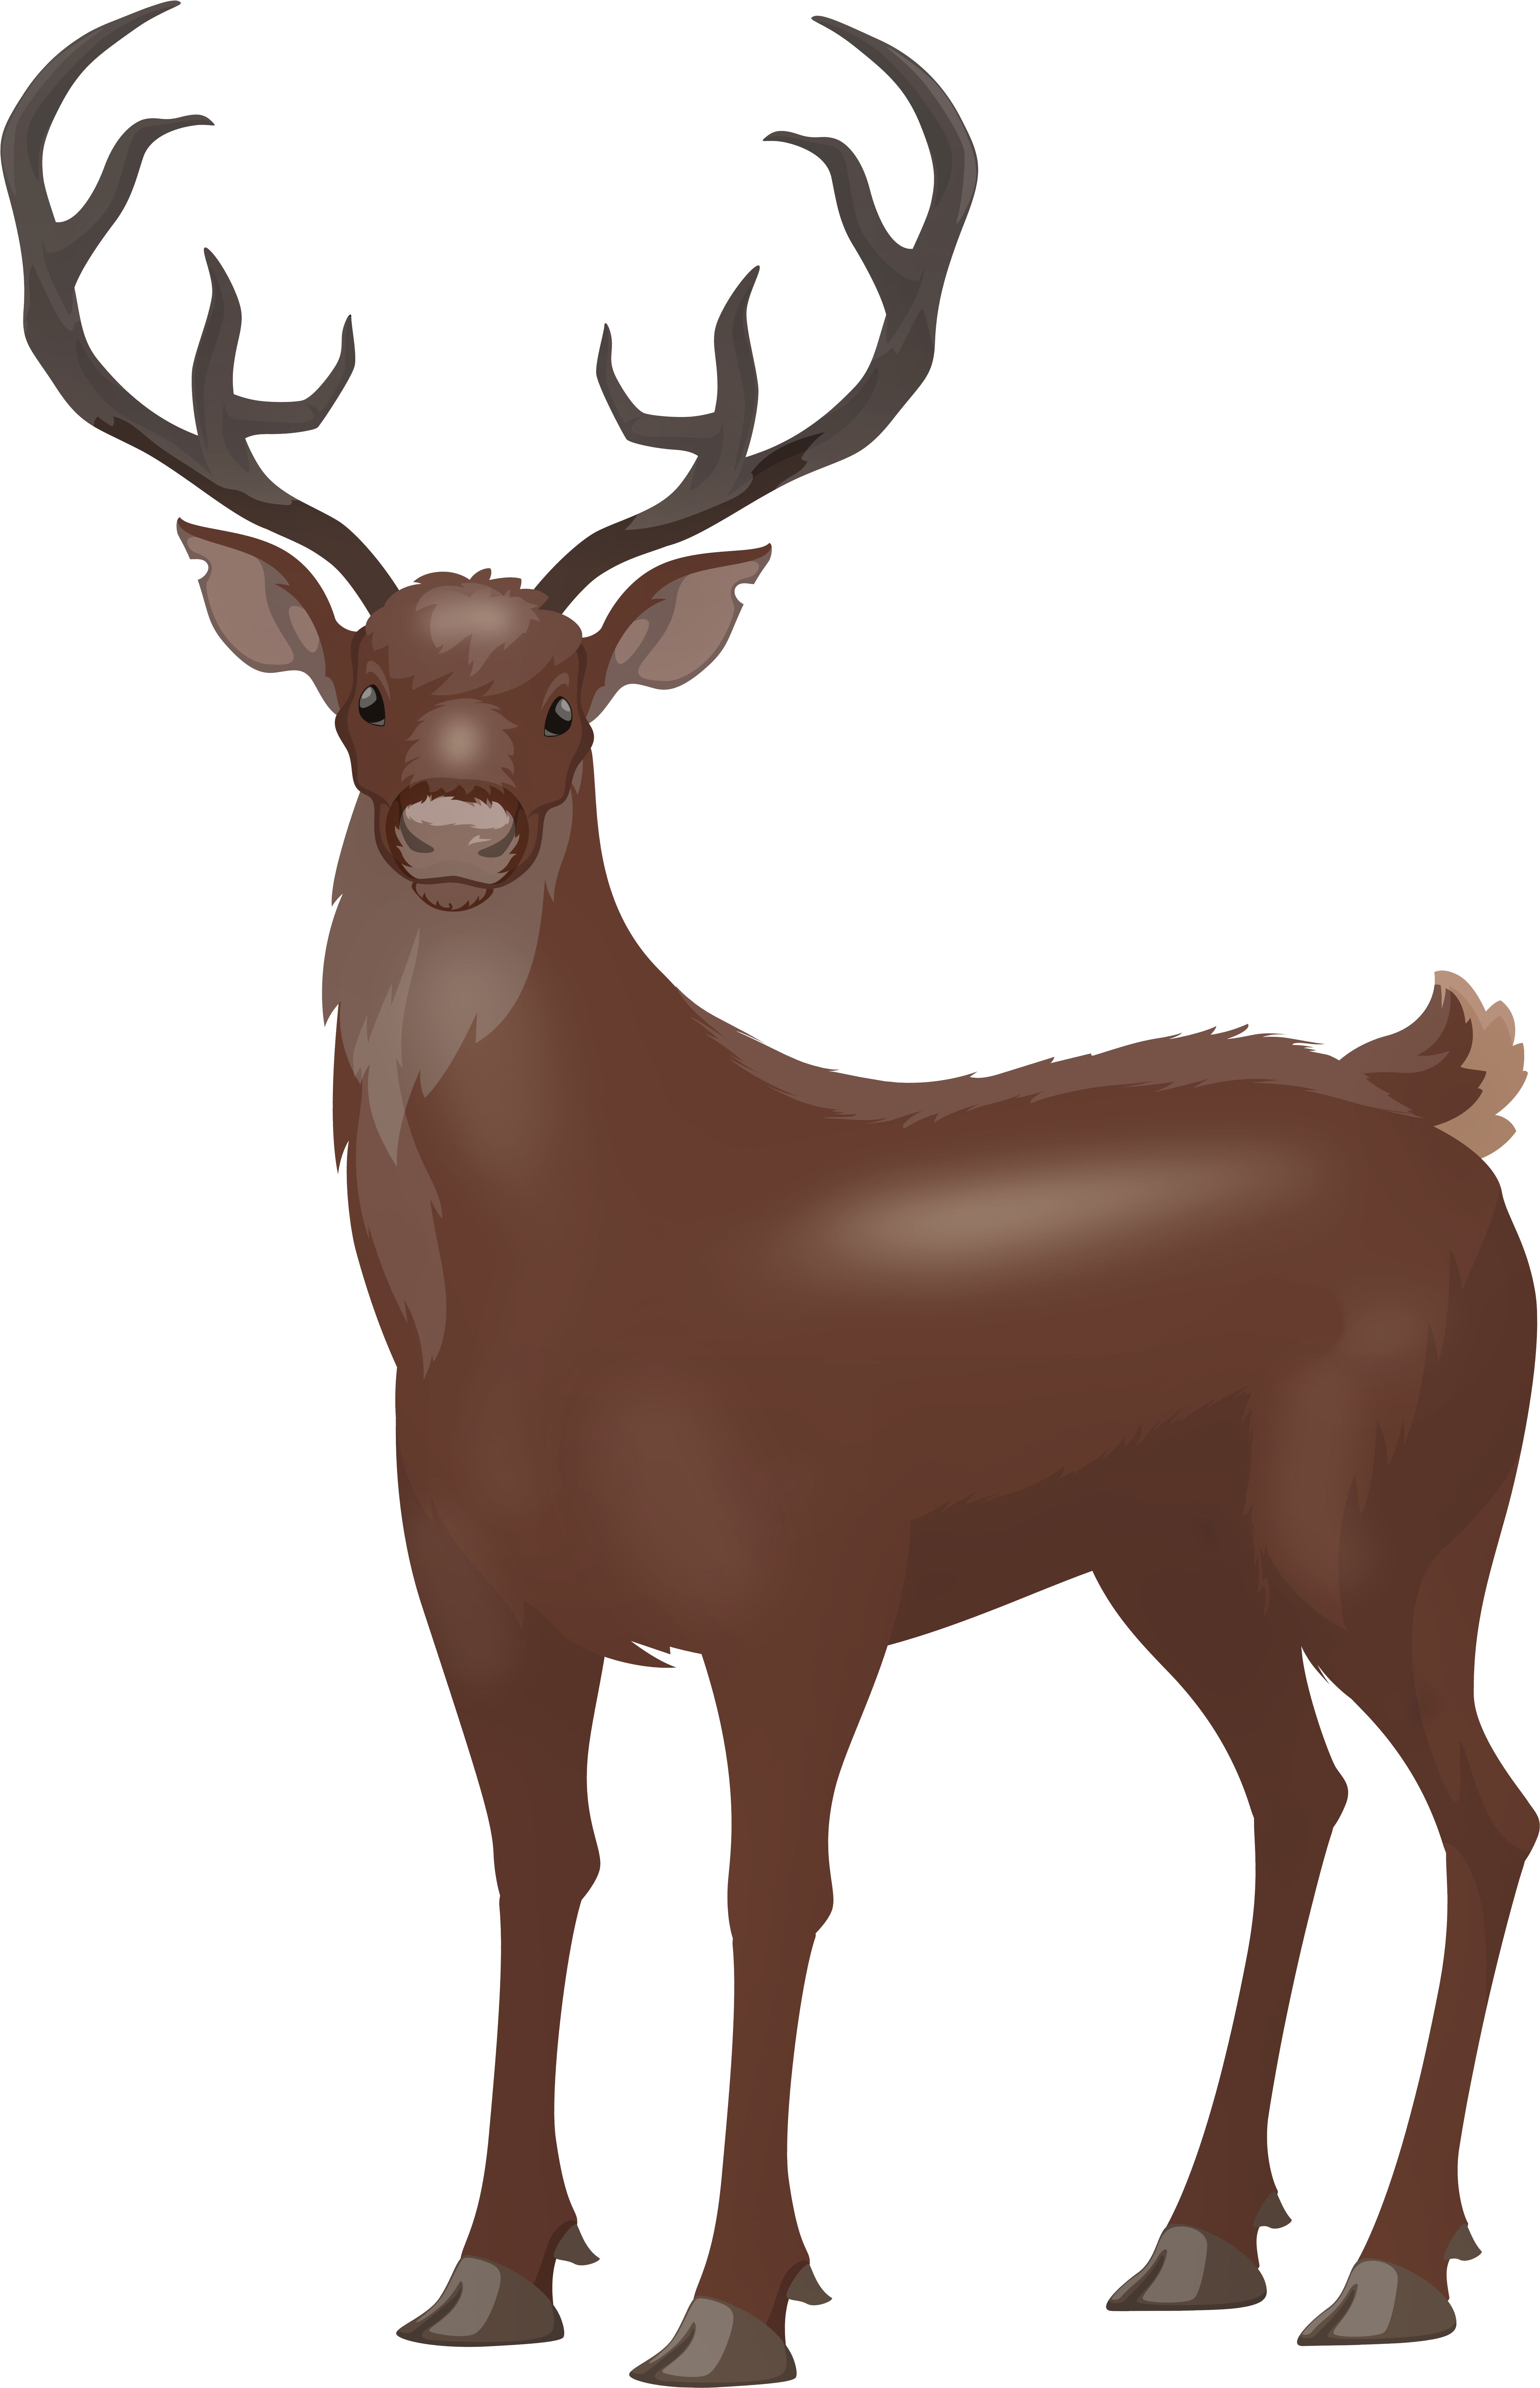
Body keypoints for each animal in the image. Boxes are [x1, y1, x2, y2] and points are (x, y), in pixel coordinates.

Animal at [7, 6, 1533, 2375]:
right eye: (368, 688)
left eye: (566, 703)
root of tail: (1446, 1111)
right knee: (1297, 1794)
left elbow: (775, 1882)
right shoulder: (475, 1592)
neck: (585, 1276)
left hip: (1393, 1517)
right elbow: (542, 1867)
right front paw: (489, 2277)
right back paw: (1198, 2241)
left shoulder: (805, 1580)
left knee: (1484, 1808)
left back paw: (1386, 2271)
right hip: (1175, 1550)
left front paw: (730, 2305)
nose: (457, 829)